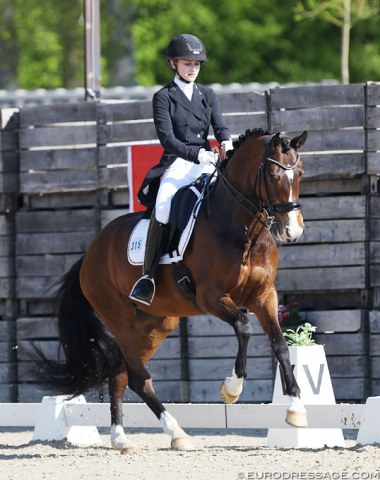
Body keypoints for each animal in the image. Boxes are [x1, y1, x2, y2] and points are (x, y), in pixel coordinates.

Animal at [37, 126, 308, 450]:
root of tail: (90, 253)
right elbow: (243, 327)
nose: (292, 231)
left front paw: (296, 409)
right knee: (138, 378)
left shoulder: (264, 295)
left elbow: (280, 344)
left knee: (120, 375)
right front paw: (231, 388)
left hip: (155, 325)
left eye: (301, 173)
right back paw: (176, 433)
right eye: (272, 176)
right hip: (120, 321)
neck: (242, 230)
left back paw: (121, 438)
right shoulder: (211, 296)